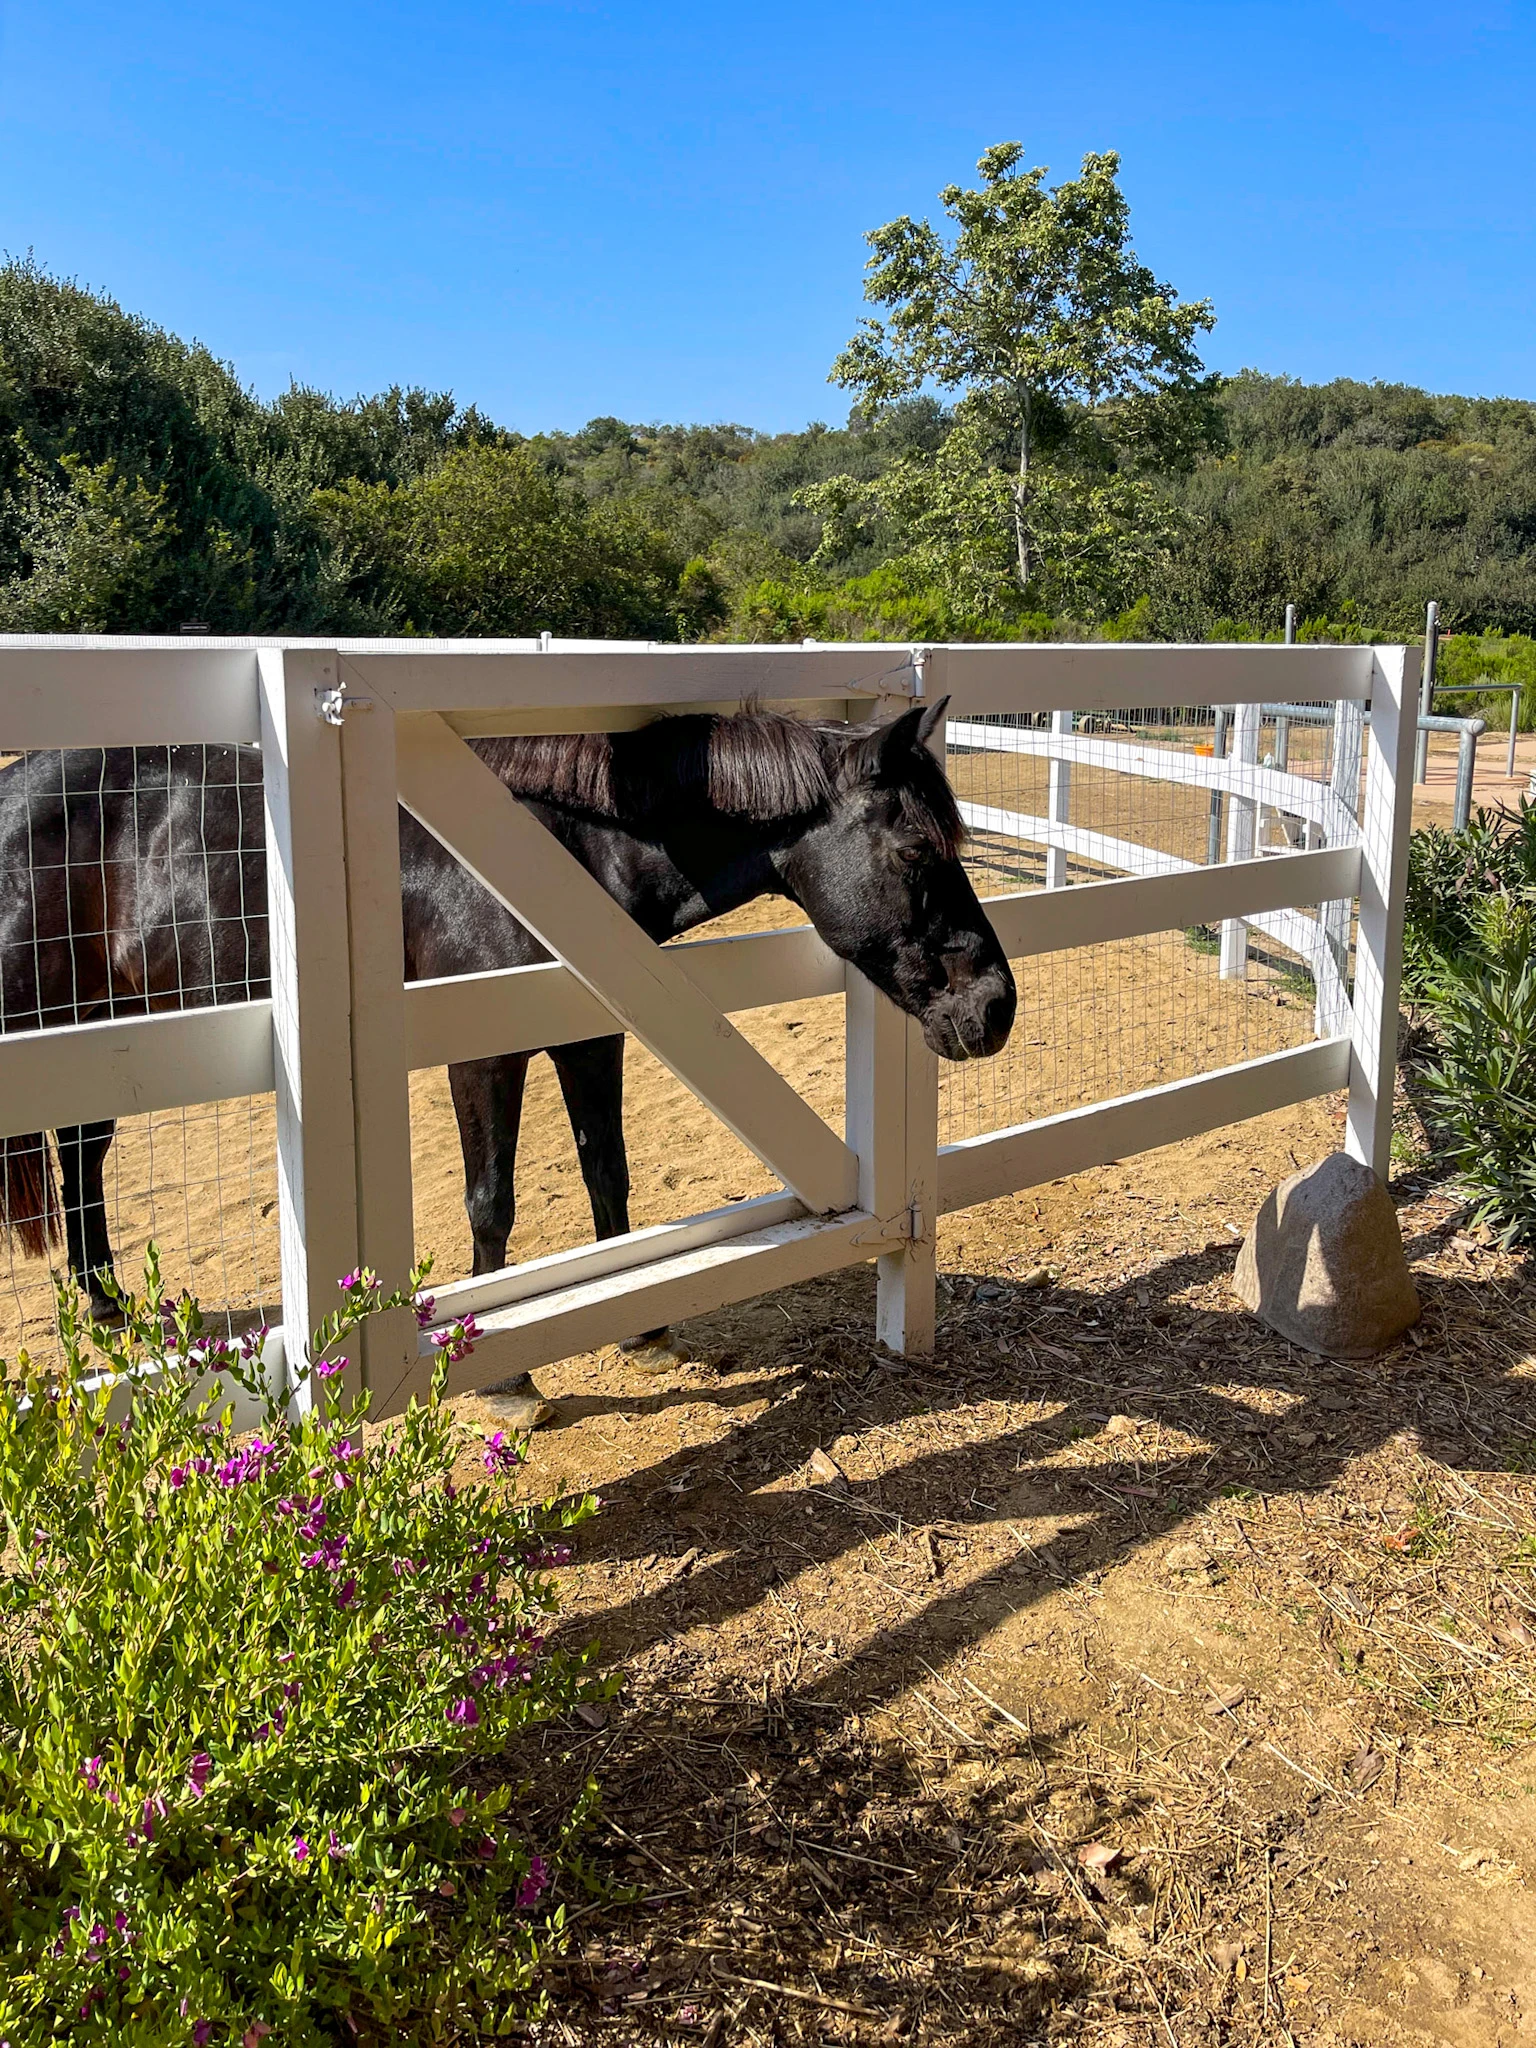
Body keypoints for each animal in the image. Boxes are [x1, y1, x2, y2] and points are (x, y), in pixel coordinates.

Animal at [0, 697, 1016, 1315]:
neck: (556, 855)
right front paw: (507, 1380)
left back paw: (109, 1305)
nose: (996, 1006)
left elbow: (608, 1174)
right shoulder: (483, 1055)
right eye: (917, 852)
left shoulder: (591, 1034)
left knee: (83, 1152)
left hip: (102, 1024)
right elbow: (491, 1202)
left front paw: (636, 1322)